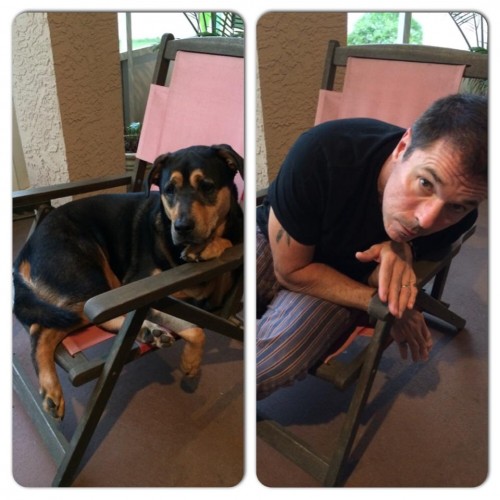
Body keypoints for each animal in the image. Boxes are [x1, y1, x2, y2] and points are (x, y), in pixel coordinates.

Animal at [13, 144, 243, 420]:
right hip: (90, 282)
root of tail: (26, 250)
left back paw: (147, 331)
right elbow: (194, 328)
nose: (182, 227)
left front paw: (209, 247)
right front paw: (191, 361)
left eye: (207, 186)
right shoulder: (137, 285)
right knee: (47, 327)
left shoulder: (214, 295)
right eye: (169, 190)